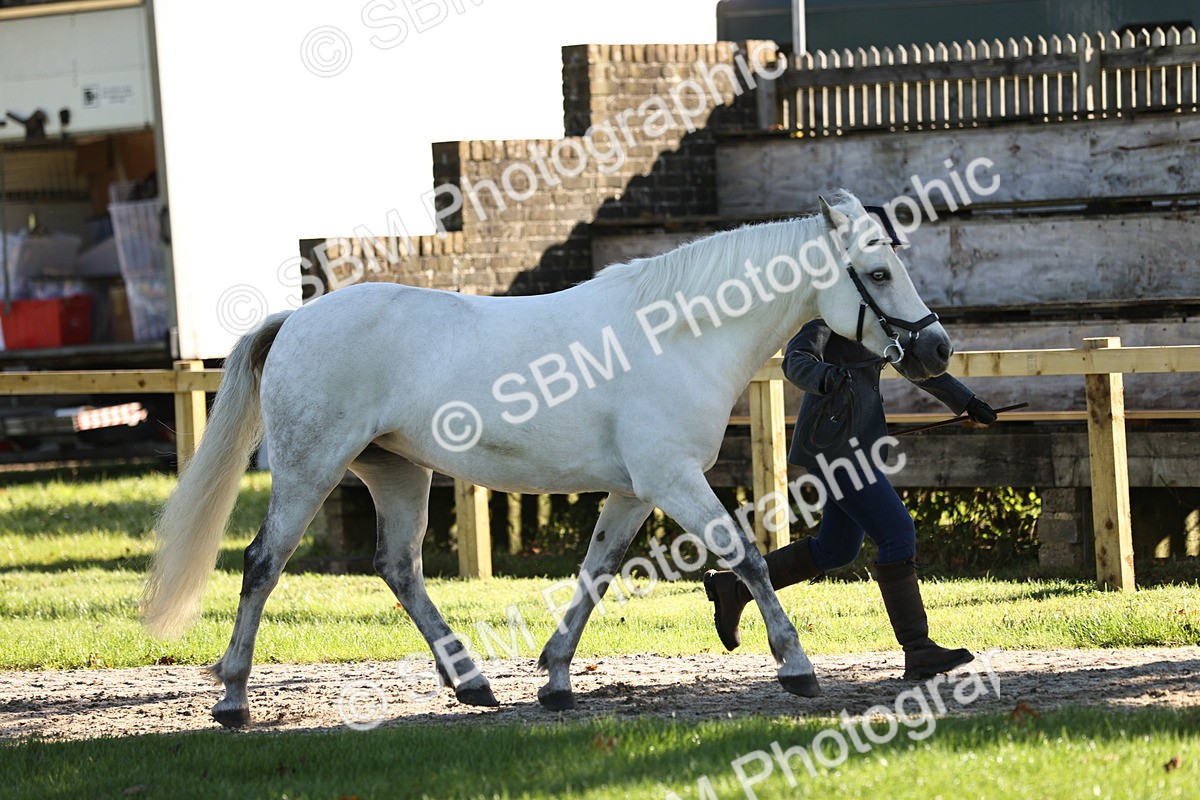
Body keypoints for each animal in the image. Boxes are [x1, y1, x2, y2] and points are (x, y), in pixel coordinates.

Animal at [142, 192, 953, 727]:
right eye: (879, 273)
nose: (938, 348)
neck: (678, 333)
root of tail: (295, 318)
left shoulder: (634, 492)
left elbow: (595, 575)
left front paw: (556, 679)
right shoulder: (673, 479)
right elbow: (747, 557)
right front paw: (797, 668)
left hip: (399, 472)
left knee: (399, 568)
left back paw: (471, 683)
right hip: (311, 470)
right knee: (263, 564)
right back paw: (233, 698)